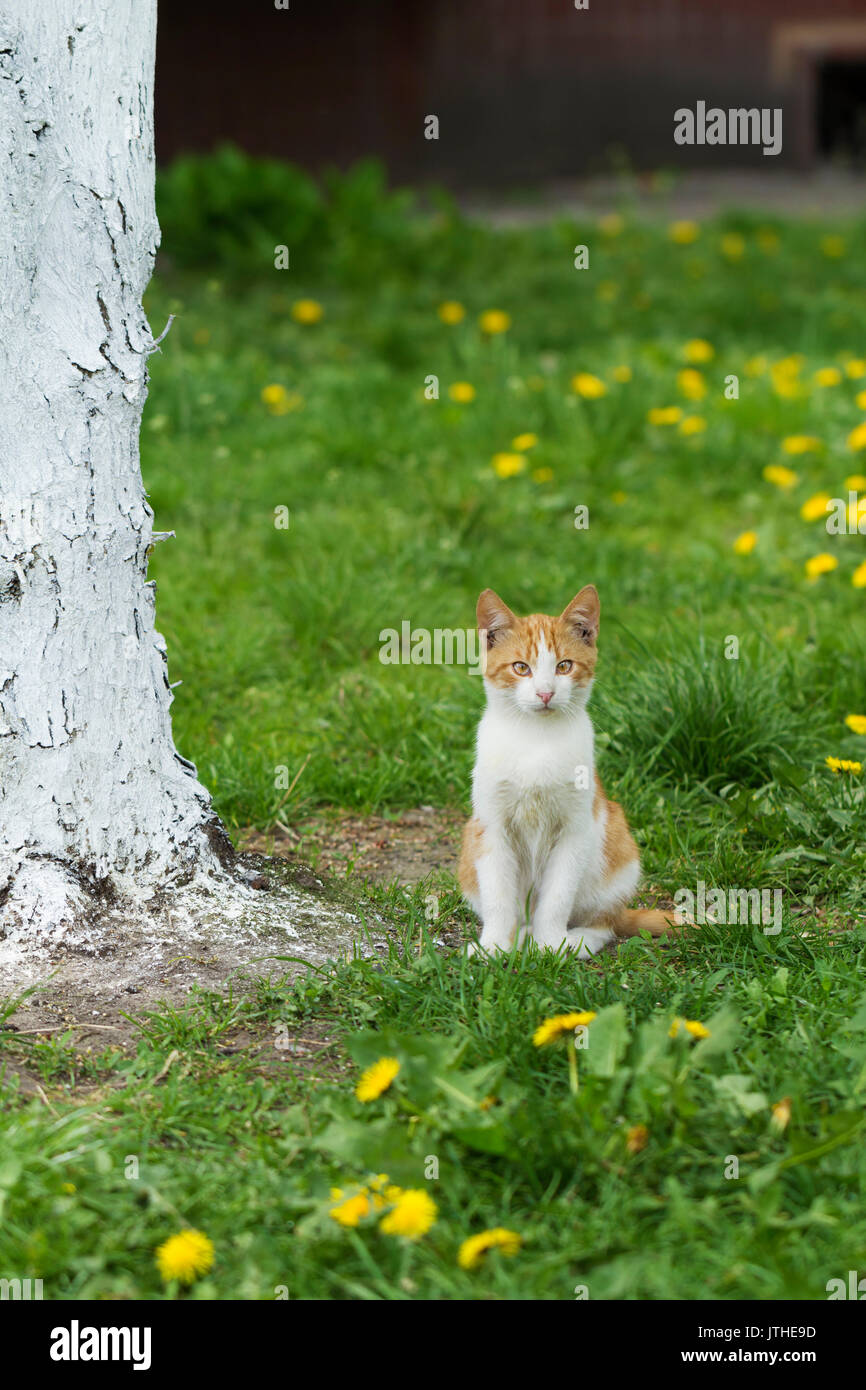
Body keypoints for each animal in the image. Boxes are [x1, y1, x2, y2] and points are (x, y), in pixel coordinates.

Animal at [458, 586, 686, 956]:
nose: (545, 693)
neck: (536, 739)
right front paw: (494, 945)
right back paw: (521, 935)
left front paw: (550, 946)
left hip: (617, 845)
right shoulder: (490, 827)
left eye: (564, 666)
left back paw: (575, 941)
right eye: (521, 668)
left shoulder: (576, 829)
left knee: (605, 924)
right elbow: (498, 896)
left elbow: (557, 897)